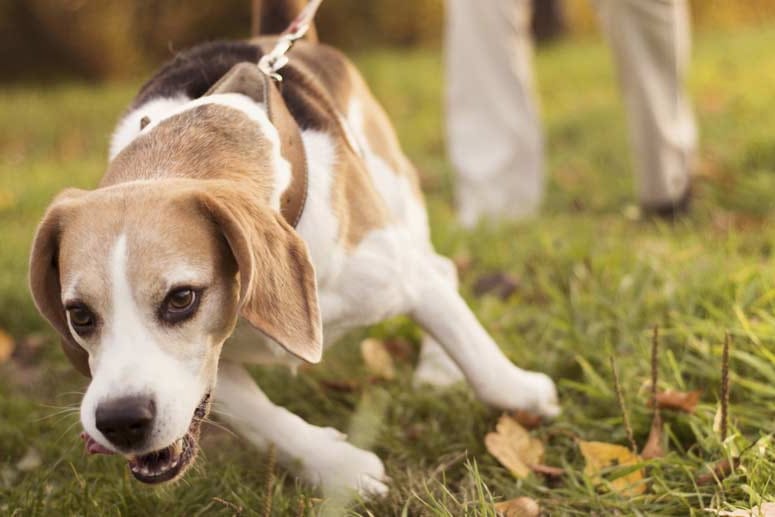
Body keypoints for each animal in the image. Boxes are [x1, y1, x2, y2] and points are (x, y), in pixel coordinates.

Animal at [28, 2, 556, 498]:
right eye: (79, 315)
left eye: (181, 299)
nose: (119, 420)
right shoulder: (213, 365)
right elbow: (262, 421)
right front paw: (339, 469)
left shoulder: (401, 277)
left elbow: (481, 360)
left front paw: (528, 396)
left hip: (398, 201)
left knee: (442, 267)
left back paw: (439, 368)